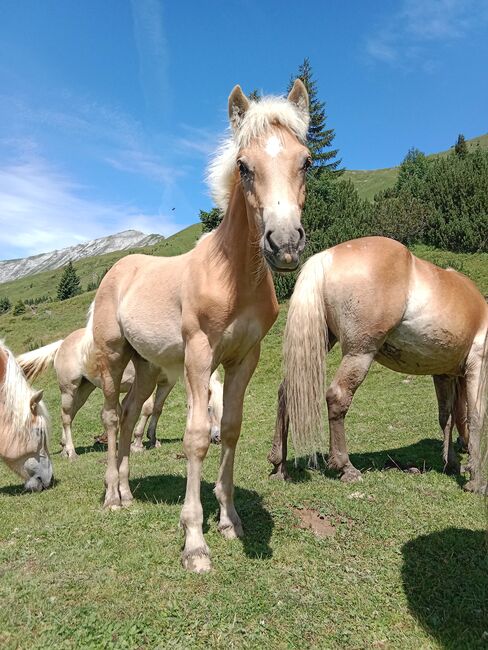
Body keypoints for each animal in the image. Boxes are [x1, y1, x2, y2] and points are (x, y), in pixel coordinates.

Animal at [17, 332, 223, 458]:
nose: (217, 438)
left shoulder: (166, 383)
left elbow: (157, 408)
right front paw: (138, 443)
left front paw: (153, 439)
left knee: (70, 414)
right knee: (66, 417)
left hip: (85, 389)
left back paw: (63, 447)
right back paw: (71, 452)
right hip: (69, 389)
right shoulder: (145, 382)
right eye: (209, 408)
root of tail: (62, 343)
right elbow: (147, 409)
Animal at [86, 78, 308, 568]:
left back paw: (128, 493)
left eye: (305, 161)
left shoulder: (244, 357)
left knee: (130, 415)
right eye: (244, 166)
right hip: (113, 357)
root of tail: (117, 270)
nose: (284, 244)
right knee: (111, 417)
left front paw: (228, 520)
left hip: (147, 366)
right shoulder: (199, 356)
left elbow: (230, 428)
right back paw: (111, 496)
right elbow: (196, 437)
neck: (233, 276)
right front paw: (194, 541)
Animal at [268, 235, 488, 494]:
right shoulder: (477, 366)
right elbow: (474, 417)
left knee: (288, 391)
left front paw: (452, 463)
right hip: (360, 354)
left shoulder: (443, 373)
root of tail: (325, 257)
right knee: (338, 397)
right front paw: (476, 480)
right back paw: (346, 468)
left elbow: (448, 416)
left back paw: (280, 466)